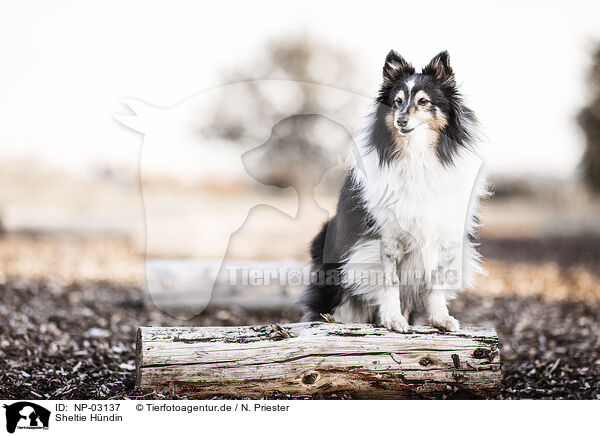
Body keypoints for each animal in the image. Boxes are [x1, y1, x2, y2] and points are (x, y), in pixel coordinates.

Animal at [300, 50, 488, 330]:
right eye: (397, 102)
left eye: (423, 102)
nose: (401, 121)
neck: (417, 156)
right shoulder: (384, 236)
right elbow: (390, 281)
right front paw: (393, 319)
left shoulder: (443, 234)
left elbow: (437, 282)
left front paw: (441, 318)